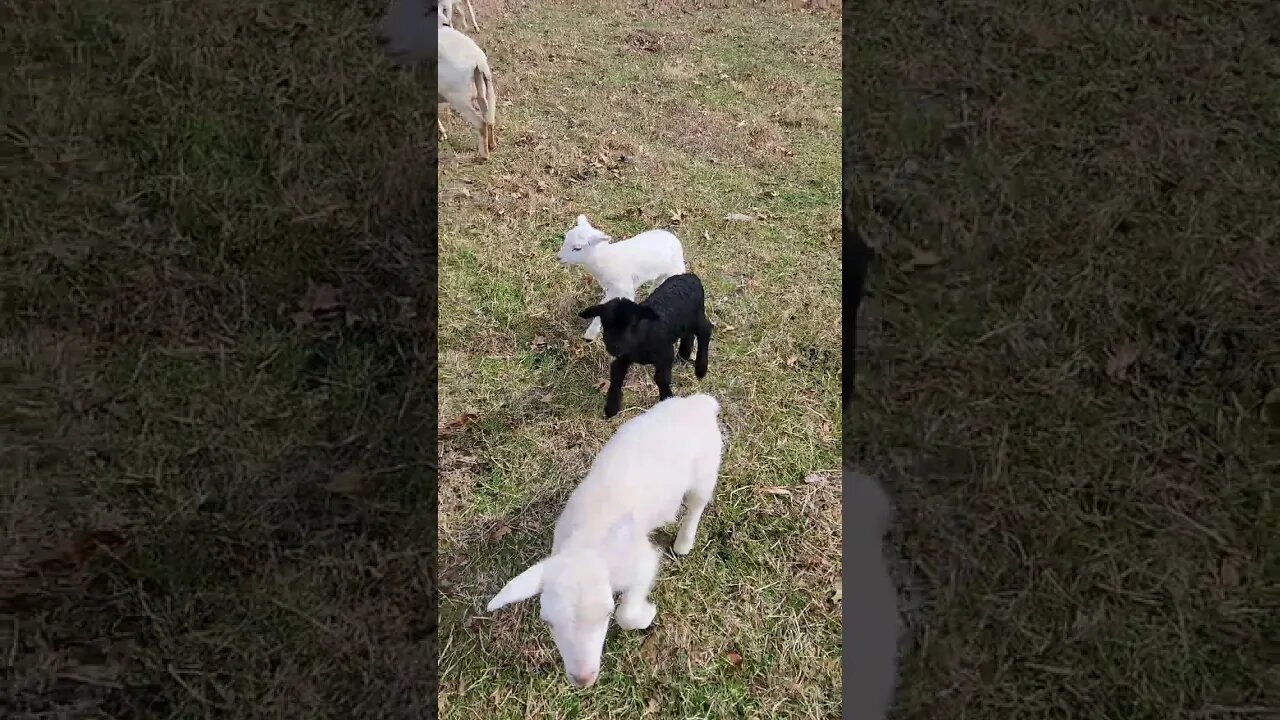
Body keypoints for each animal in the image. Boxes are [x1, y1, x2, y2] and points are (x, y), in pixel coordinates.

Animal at [374, 0, 497, 159]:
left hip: (459, 100)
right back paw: (492, 145)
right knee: (489, 117)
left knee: (481, 123)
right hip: (486, 88)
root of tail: (477, 61)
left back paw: (483, 155)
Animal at [486, 393, 724, 688]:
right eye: (548, 622)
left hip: (705, 471)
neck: (585, 543)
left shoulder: (640, 562)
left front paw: (647, 613)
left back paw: (683, 543)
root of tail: (700, 402)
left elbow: (627, 616)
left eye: (607, 615)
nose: (583, 679)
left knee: (696, 505)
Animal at [557, 215, 687, 341]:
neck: (604, 258)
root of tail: (674, 239)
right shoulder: (613, 288)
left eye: (577, 248)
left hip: (675, 269)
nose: (558, 258)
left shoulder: (624, 287)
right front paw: (591, 333)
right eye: (566, 239)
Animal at [578, 273, 712, 419]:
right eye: (605, 324)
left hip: (696, 317)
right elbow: (616, 379)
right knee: (689, 335)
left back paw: (700, 369)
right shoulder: (622, 358)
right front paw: (611, 409)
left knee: (706, 330)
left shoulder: (665, 353)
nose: (613, 346)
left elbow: (661, 378)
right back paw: (683, 355)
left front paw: (667, 399)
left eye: (632, 325)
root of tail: (692, 277)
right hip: (684, 324)